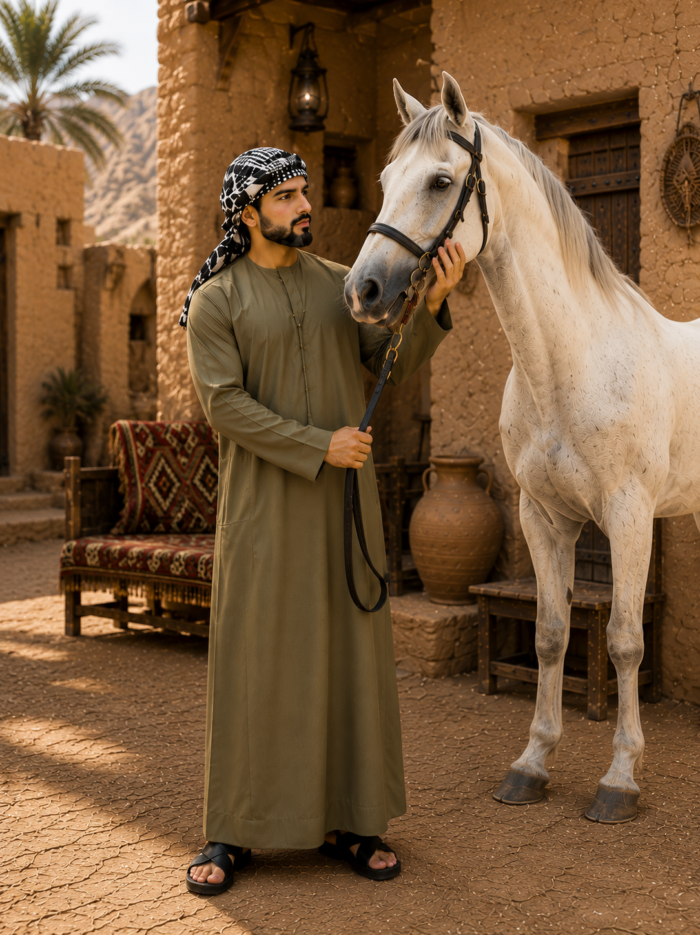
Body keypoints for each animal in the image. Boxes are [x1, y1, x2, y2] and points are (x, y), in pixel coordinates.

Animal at [344, 71, 700, 824]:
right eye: (386, 178)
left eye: (441, 180)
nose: (363, 290)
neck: (569, 363)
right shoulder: (543, 518)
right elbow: (550, 634)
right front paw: (533, 763)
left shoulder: (628, 518)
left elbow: (624, 640)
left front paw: (620, 779)